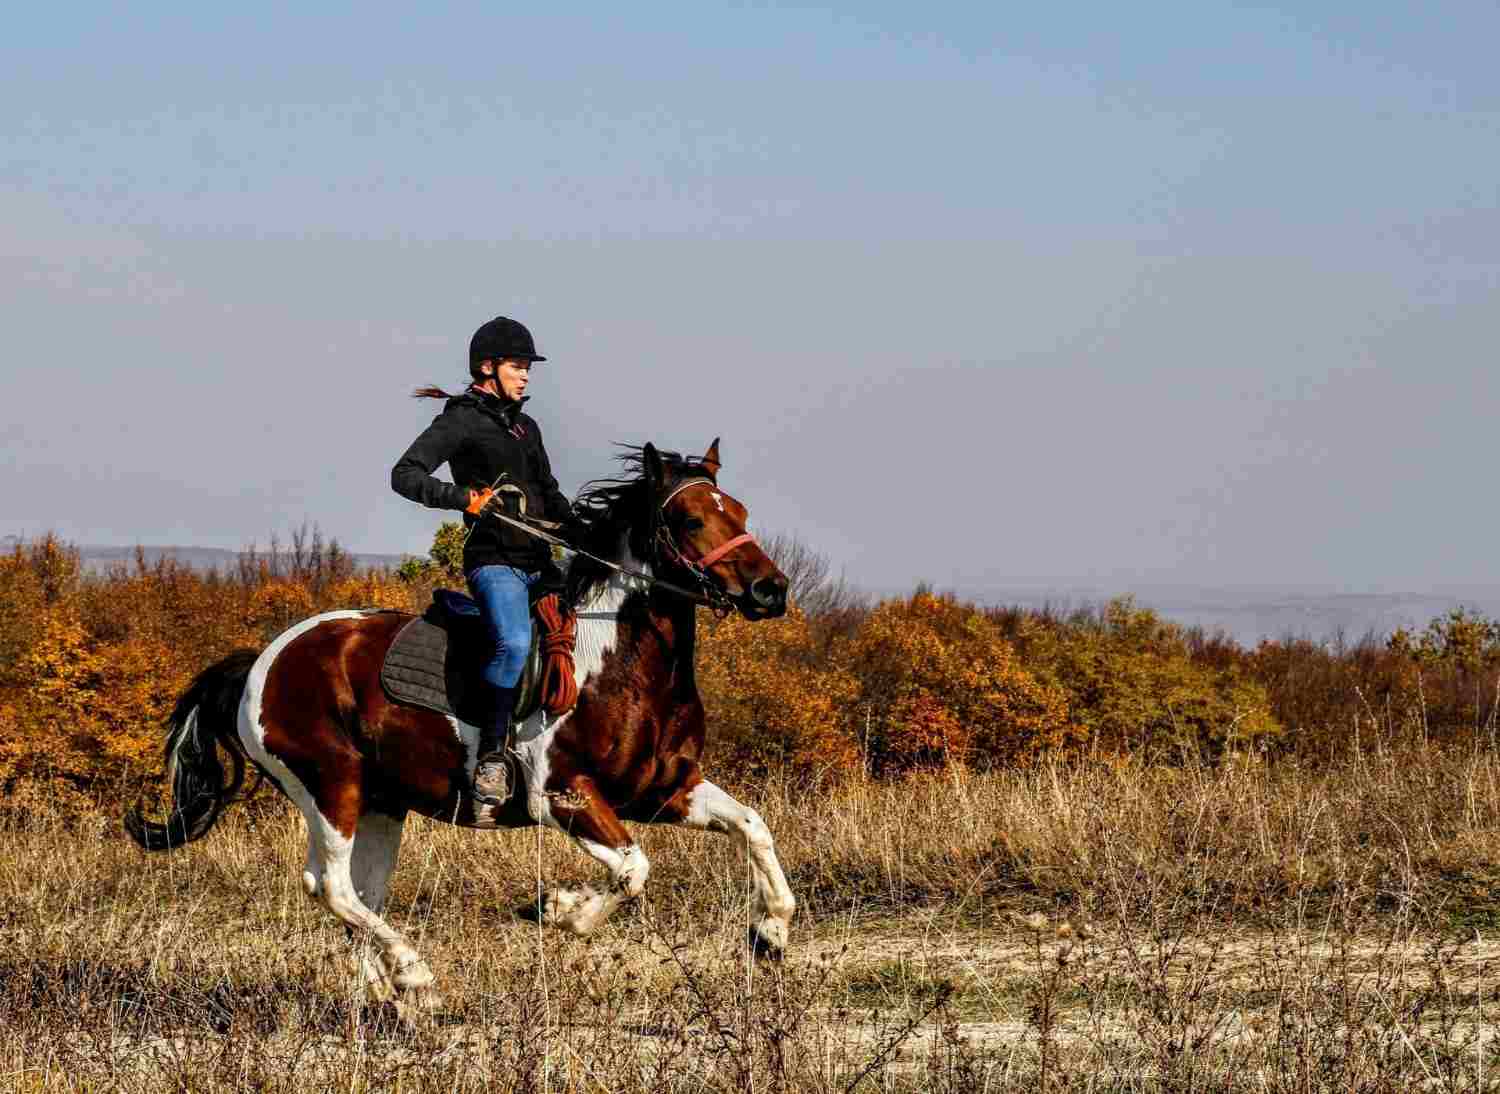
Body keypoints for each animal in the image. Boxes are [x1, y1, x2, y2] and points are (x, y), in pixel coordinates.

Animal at [125, 439, 796, 1011]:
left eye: (738, 511)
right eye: (690, 520)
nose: (771, 590)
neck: (618, 659)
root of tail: (263, 660)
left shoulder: (665, 789)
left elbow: (753, 827)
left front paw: (770, 933)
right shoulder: (565, 796)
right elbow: (633, 871)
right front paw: (558, 909)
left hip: (381, 802)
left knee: (360, 893)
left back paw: (385, 993)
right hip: (330, 785)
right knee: (331, 885)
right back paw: (414, 975)